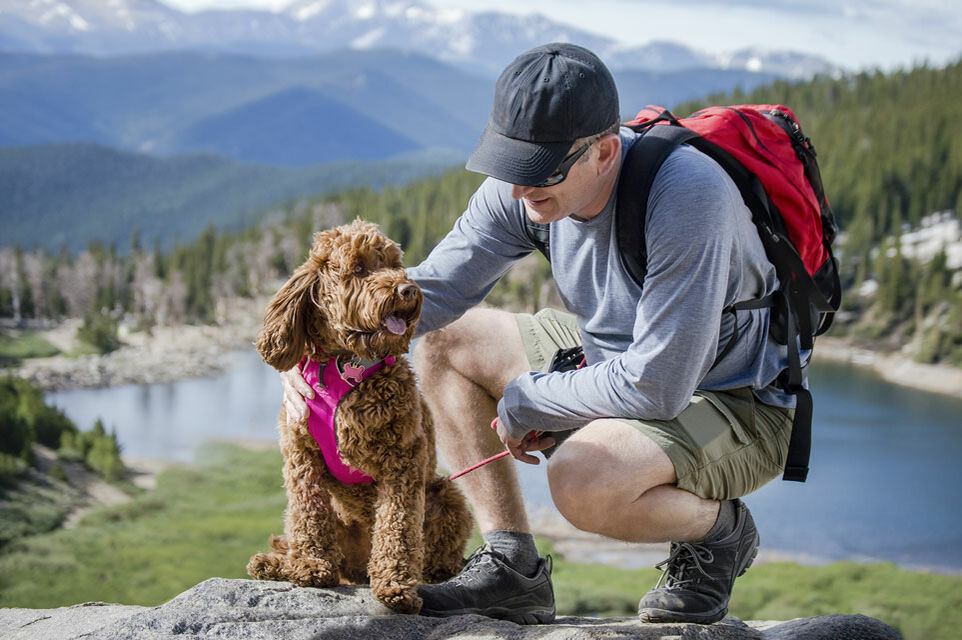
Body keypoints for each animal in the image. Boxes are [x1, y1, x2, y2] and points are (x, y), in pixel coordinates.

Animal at [248, 221, 472, 616]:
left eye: (396, 265)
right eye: (359, 268)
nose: (407, 289)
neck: (345, 363)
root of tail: (356, 569)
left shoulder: (403, 461)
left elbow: (397, 526)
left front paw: (396, 585)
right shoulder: (302, 456)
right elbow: (307, 514)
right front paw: (310, 565)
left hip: (446, 496)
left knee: (437, 560)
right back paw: (277, 564)